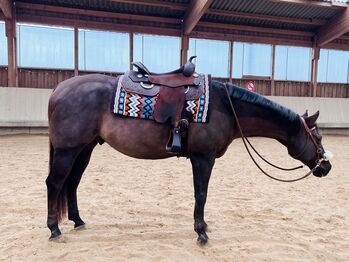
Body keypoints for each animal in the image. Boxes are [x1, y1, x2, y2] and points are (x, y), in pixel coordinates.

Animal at [47, 74, 332, 245]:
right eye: (317, 137)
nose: (326, 166)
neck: (226, 107)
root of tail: (59, 89)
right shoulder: (203, 158)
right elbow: (201, 194)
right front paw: (201, 232)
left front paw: (203, 227)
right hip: (67, 150)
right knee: (55, 183)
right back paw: (54, 230)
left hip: (84, 149)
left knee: (72, 183)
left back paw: (77, 221)